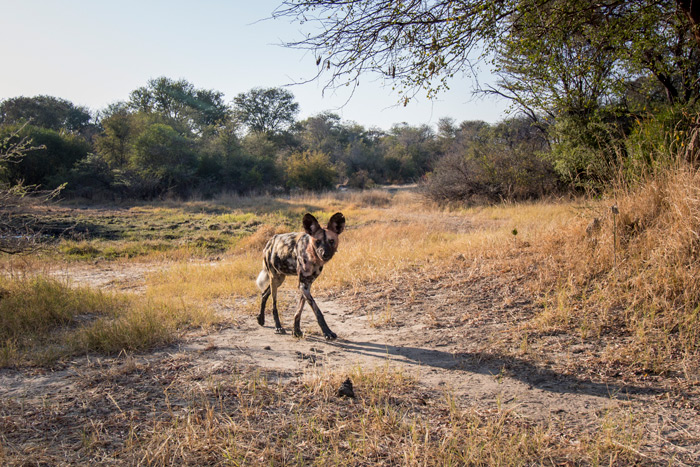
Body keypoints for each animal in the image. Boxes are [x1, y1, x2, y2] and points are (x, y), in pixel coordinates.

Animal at [256, 212, 346, 340]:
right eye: (317, 241)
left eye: (331, 241)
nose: (324, 254)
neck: (312, 256)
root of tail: (270, 241)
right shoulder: (303, 285)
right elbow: (317, 311)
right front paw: (327, 332)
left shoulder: (306, 285)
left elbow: (299, 310)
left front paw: (296, 331)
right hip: (274, 279)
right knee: (274, 304)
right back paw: (278, 327)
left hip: (279, 279)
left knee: (264, 294)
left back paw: (261, 319)